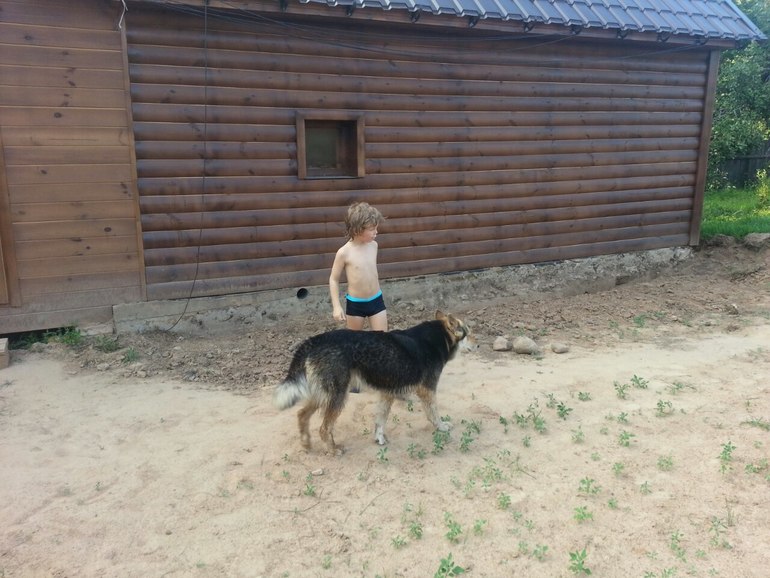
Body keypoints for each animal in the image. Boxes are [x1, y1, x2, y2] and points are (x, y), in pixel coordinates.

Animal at [273, 311, 476, 455]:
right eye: (467, 332)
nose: (479, 344)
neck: (437, 338)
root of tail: (315, 340)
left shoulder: (387, 393)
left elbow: (381, 420)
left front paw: (379, 438)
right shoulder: (427, 390)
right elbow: (434, 414)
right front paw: (442, 427)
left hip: (324, 394)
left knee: (301, 415)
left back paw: (306, 444)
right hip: (338, 396)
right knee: (324, 428)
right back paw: (333, 450)